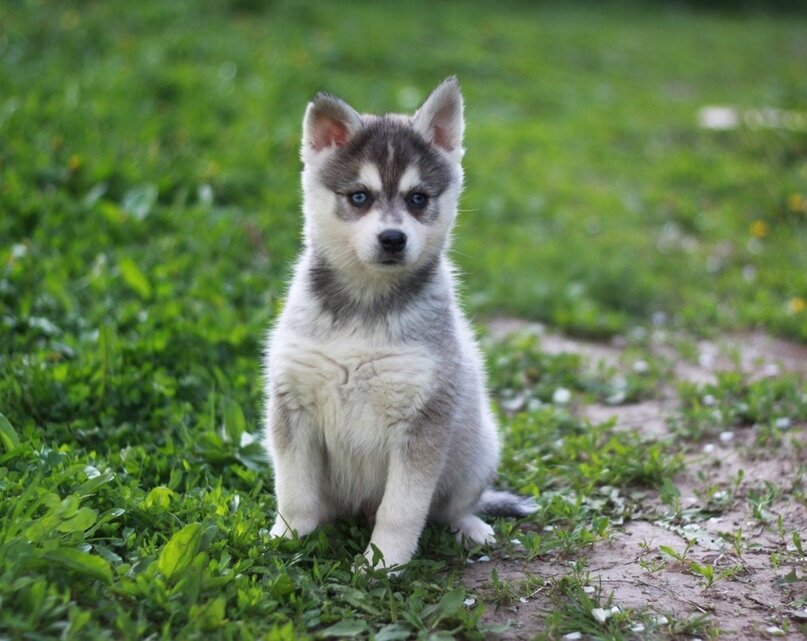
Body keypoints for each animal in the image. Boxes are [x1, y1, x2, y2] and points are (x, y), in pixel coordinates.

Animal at [262, 77, 532, 568]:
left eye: (418, 198)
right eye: (359, 196)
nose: (393, 239)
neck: (366, 305)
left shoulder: (423, 420)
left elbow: (402, 508)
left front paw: (383, 563)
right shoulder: (293, 405)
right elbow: (295, 492)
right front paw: (290, 538)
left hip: (477, 448)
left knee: (452, 506)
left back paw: (470, 527)